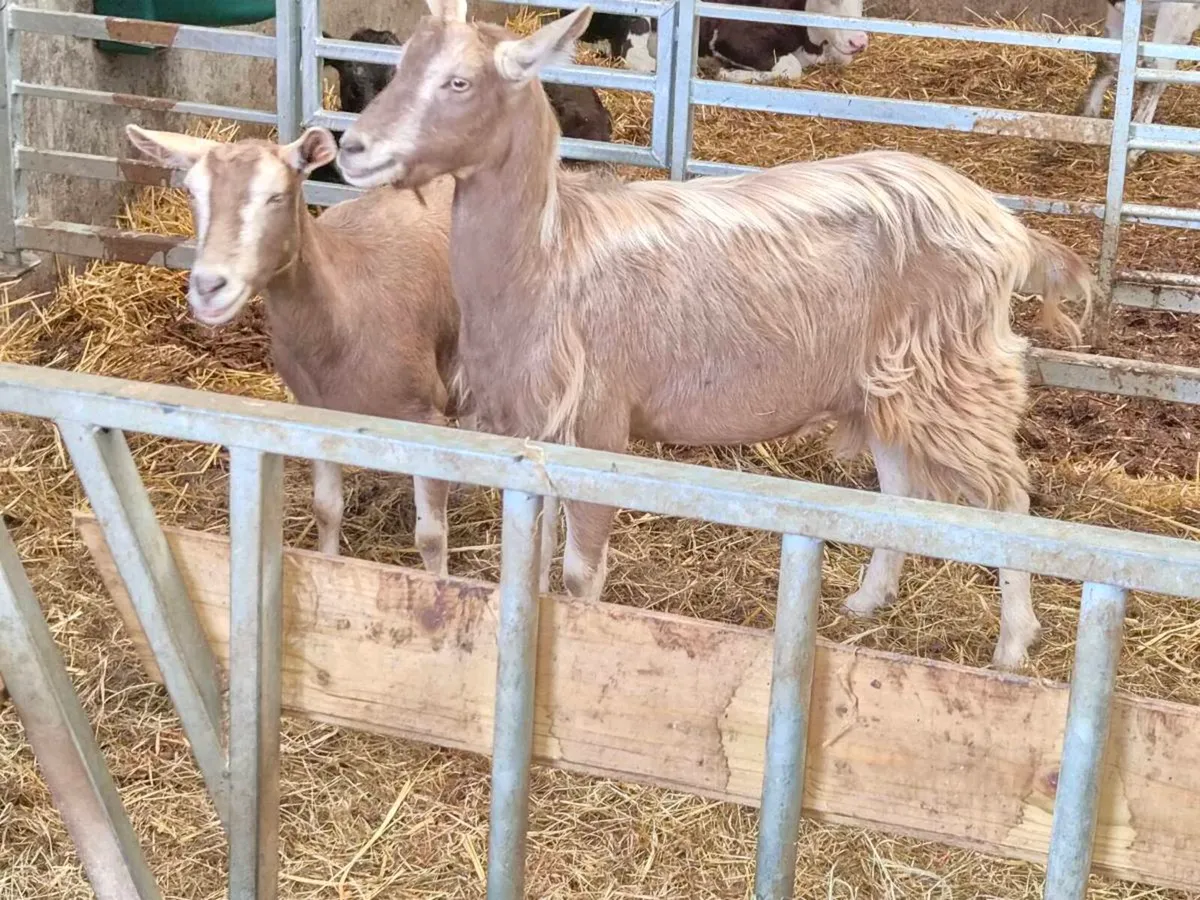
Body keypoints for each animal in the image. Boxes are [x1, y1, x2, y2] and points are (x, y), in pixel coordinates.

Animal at [125, 124, 460, 575]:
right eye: (193, 192)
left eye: (276, 195)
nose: (209, 287)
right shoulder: (315, 411)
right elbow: (326, 509)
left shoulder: (427, 419)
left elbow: (430, 538)